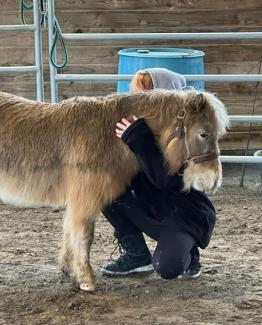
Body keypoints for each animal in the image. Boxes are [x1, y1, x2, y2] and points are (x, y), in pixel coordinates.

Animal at [0, 88, 228, 288]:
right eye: (203, 134)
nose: (213, 181)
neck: (107, 136)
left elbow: (69, 231)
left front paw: (68, 270)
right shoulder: (84, 198)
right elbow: (83, 235)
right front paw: (86, 280)